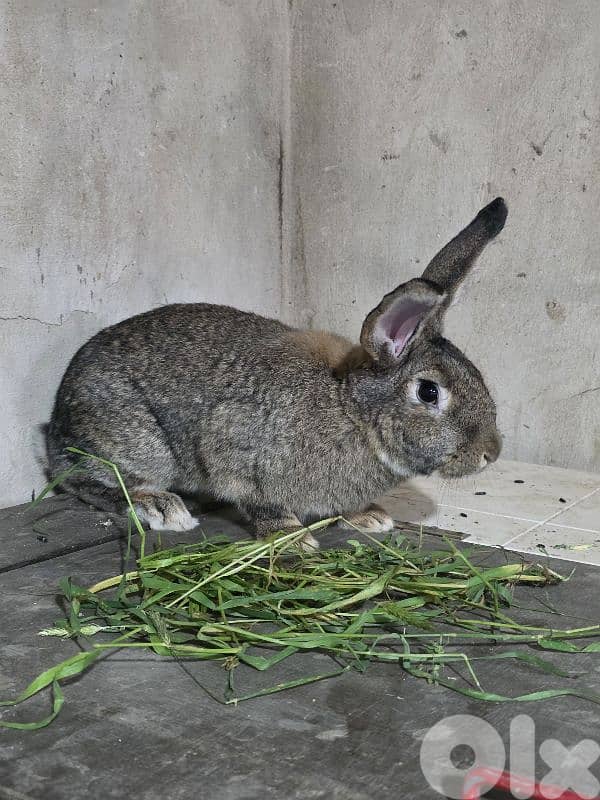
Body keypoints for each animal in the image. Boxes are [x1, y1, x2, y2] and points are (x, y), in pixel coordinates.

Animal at [46, 197, 507, 550]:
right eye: (429, 392)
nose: (492, 453)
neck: (350, 411)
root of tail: (56, 414)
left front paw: (370, 517)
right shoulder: (236, 451)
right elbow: (260, 501)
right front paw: (292, 538)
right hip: (139, 444)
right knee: (78, 476)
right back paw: (160, 507)